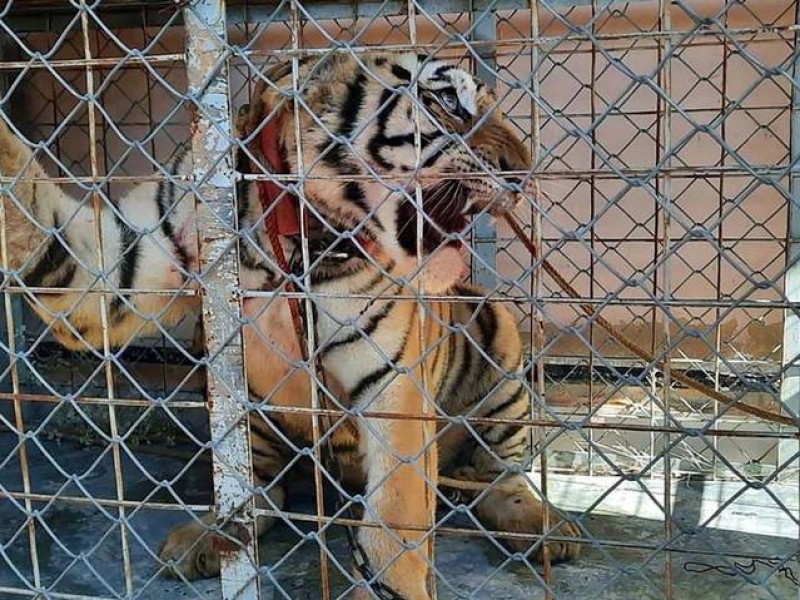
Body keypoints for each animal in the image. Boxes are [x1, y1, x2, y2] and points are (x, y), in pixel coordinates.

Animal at [0, 52, 580, 600]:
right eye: (448, 103)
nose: (524, 173)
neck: (294, 234)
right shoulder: (119, 262)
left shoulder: (395, 384)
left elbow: (396, 517)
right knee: (257, 493)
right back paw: (208, 538)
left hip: (498, 337)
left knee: (499, 476)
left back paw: (547, 529)